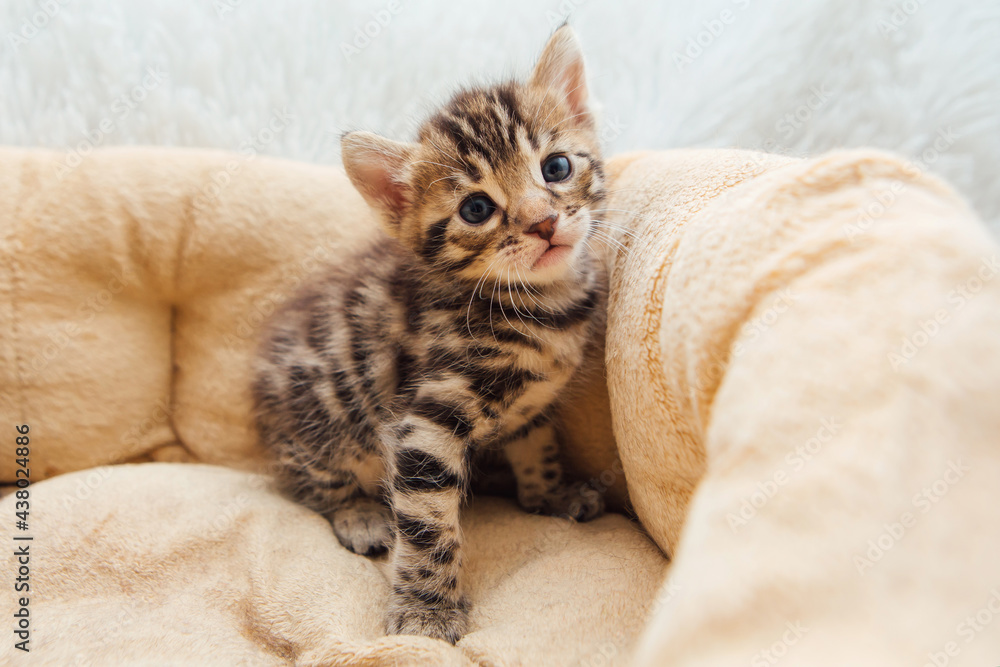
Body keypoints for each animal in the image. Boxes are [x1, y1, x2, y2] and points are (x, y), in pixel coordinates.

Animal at [254, 27, 604, 648]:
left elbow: (538, 449)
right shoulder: (424, 423)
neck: (541, 306)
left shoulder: (532, 408)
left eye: (557, 166)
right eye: (476, 208)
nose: (543, 223)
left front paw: (551, 495)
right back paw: (360, 514)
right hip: (321, 421)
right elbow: (427, 526)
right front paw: (426, 610)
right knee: (309, 483)